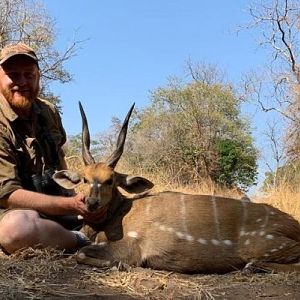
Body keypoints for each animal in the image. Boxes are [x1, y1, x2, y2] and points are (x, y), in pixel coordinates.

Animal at [53, 103, 300, 274]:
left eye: (110, 180)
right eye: (85, 179)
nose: (92, 203)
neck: (118, 216)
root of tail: (293, 224)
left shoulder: (132, 247)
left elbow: (82, 254)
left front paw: (120, 265)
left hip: (263, 245)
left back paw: (253, 267)